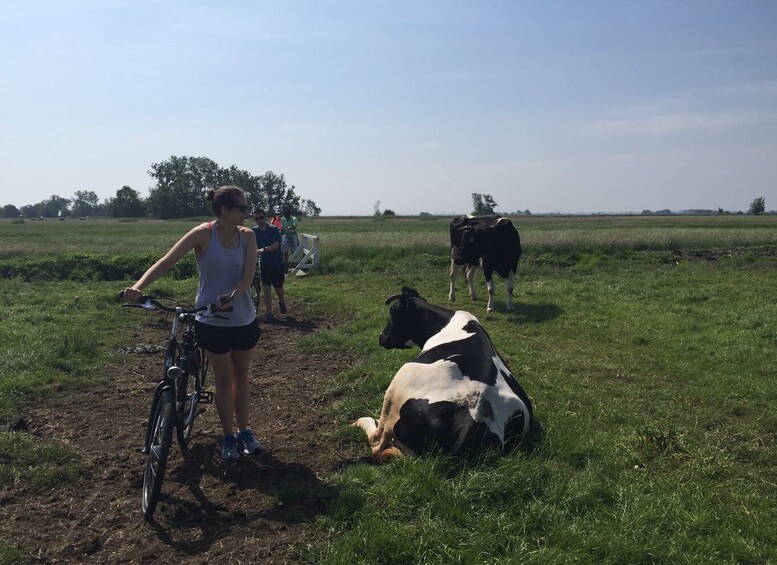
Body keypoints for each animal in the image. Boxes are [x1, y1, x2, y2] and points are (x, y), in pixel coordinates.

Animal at [354, 286, 532, 458]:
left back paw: (362, 421)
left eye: (393, 313)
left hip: (399, 382)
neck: (443, 324)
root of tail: (475, 416)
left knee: (377, 439)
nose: (381, 337)